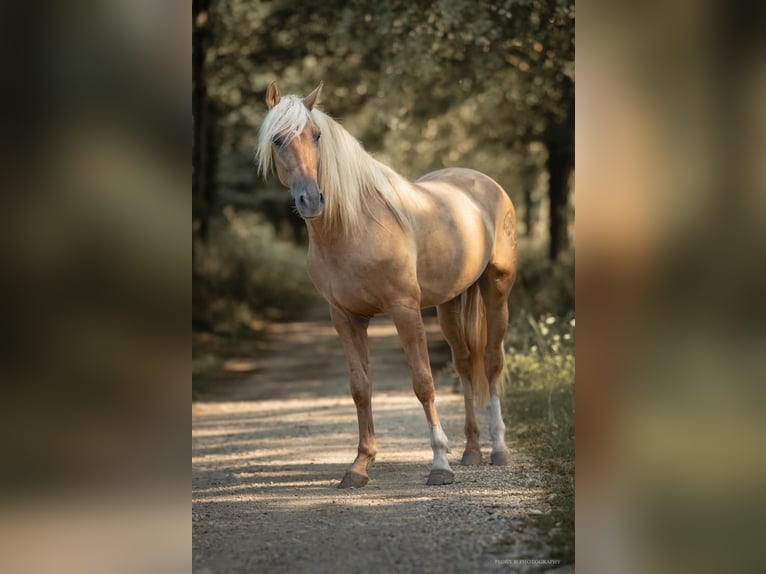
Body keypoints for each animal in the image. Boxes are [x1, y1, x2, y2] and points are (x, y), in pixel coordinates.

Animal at [260, 79, 520, 488]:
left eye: (316, 135)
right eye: (278, 140)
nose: (312, 200)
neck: (354, 226)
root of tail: (485, 183)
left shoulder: (404, 310)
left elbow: (423, 382)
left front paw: (439, 465)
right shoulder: (345, 317)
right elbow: (360, 387)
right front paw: (359, 465)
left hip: (497, 288)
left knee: (492, 362)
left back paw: (498, 450)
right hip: (449, 302)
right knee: (464, 364)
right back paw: (471, 451)